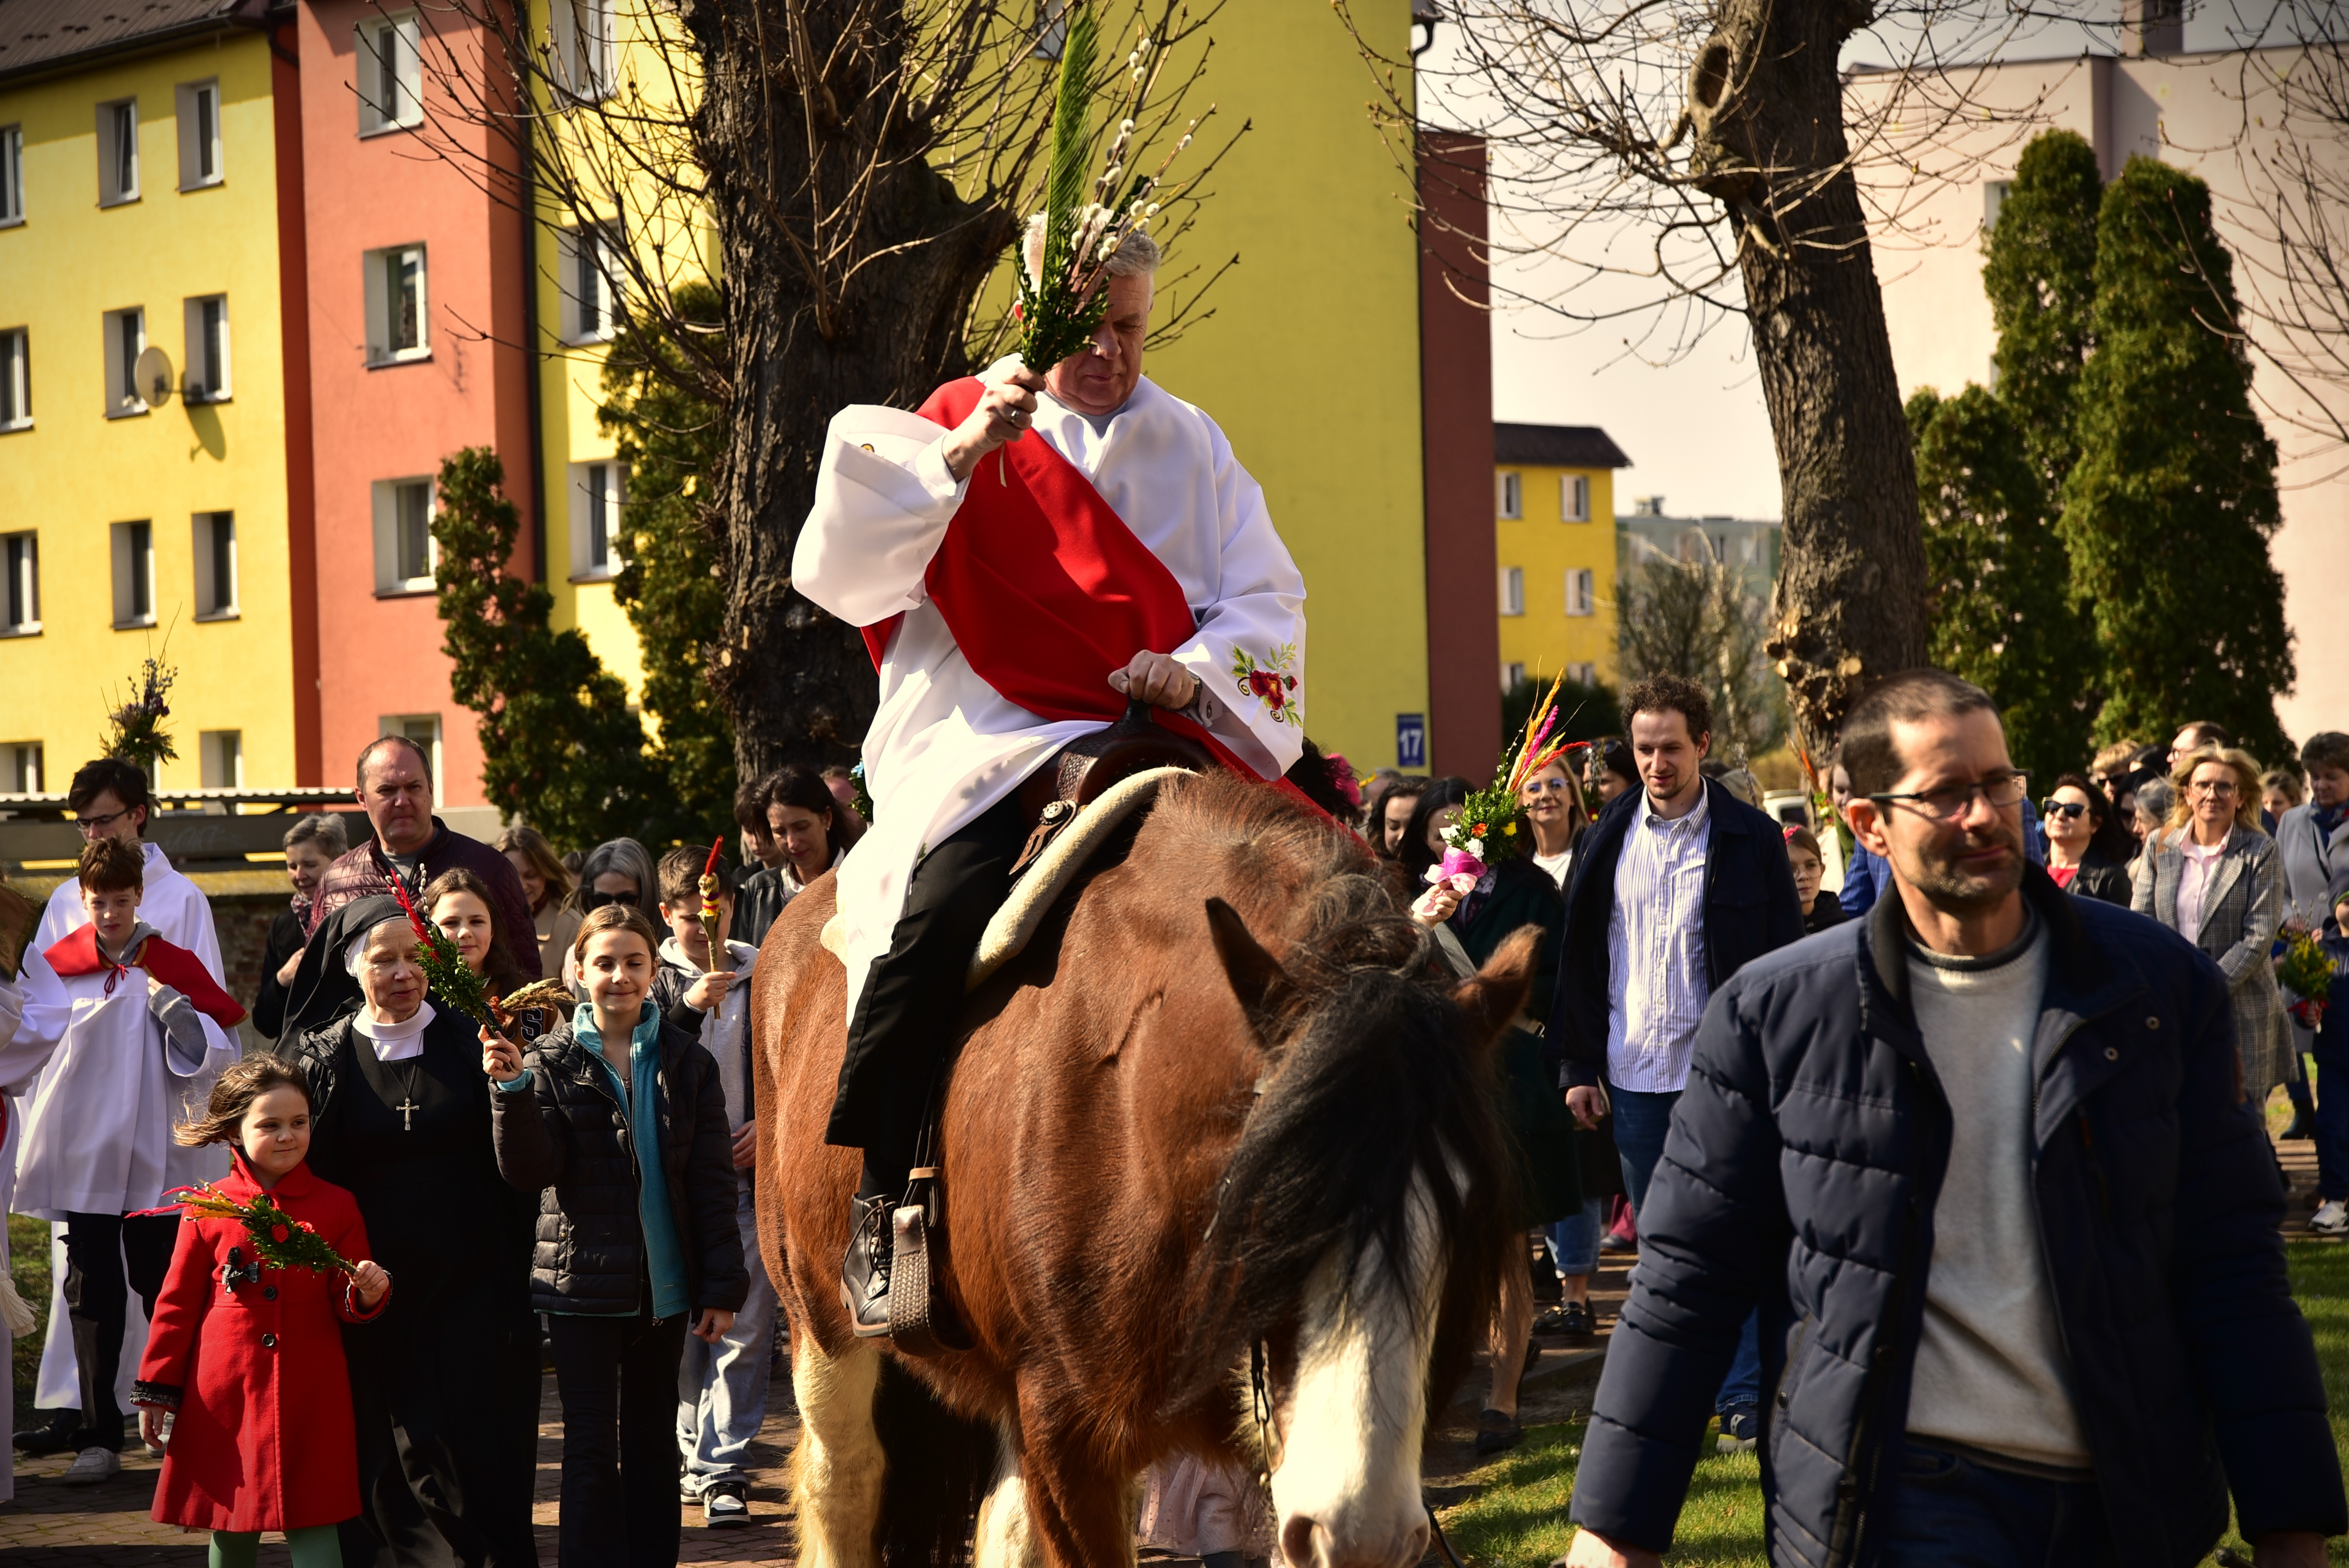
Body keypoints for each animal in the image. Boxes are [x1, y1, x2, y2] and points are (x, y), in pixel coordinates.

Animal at [752, 769, 1534, 1568]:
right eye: (1271, 1206)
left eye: (1467, 1217)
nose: (1362, 1536)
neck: (1132, 1100)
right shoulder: (1064, 1429)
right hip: (818, 1321)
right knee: (845, 1478)